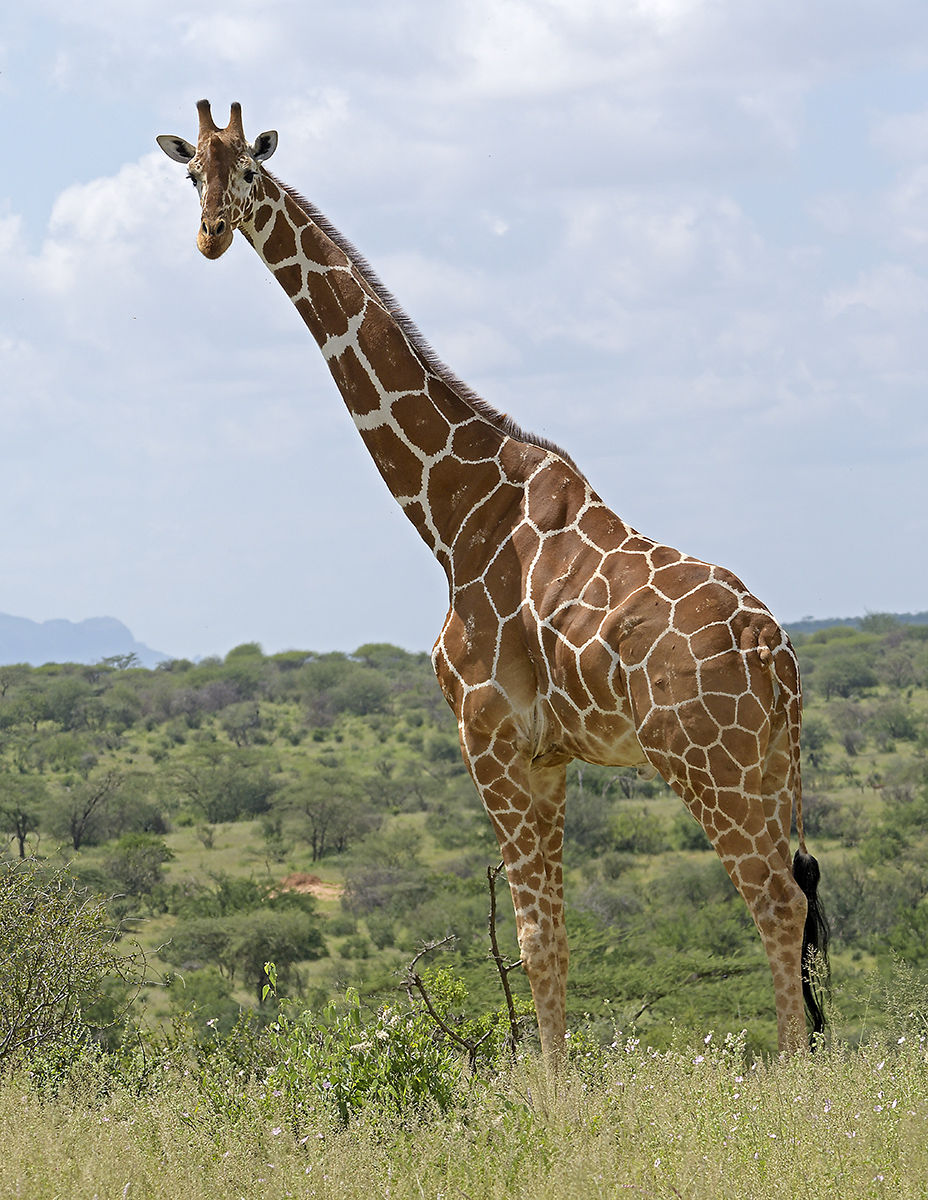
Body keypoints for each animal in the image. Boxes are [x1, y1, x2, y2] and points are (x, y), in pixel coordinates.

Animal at [157, 100, 825, 1060]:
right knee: (798, 897)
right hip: (770, 764)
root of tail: (774, 649)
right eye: (189, 175)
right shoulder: (545, 755)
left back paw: (793, 1078)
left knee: (774, 902)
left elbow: (534, 938)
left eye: (246, 170)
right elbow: (555, 938)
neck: (452, 512)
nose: (211, 235)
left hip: (709, 762)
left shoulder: (490, 737)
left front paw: (549, 1092)